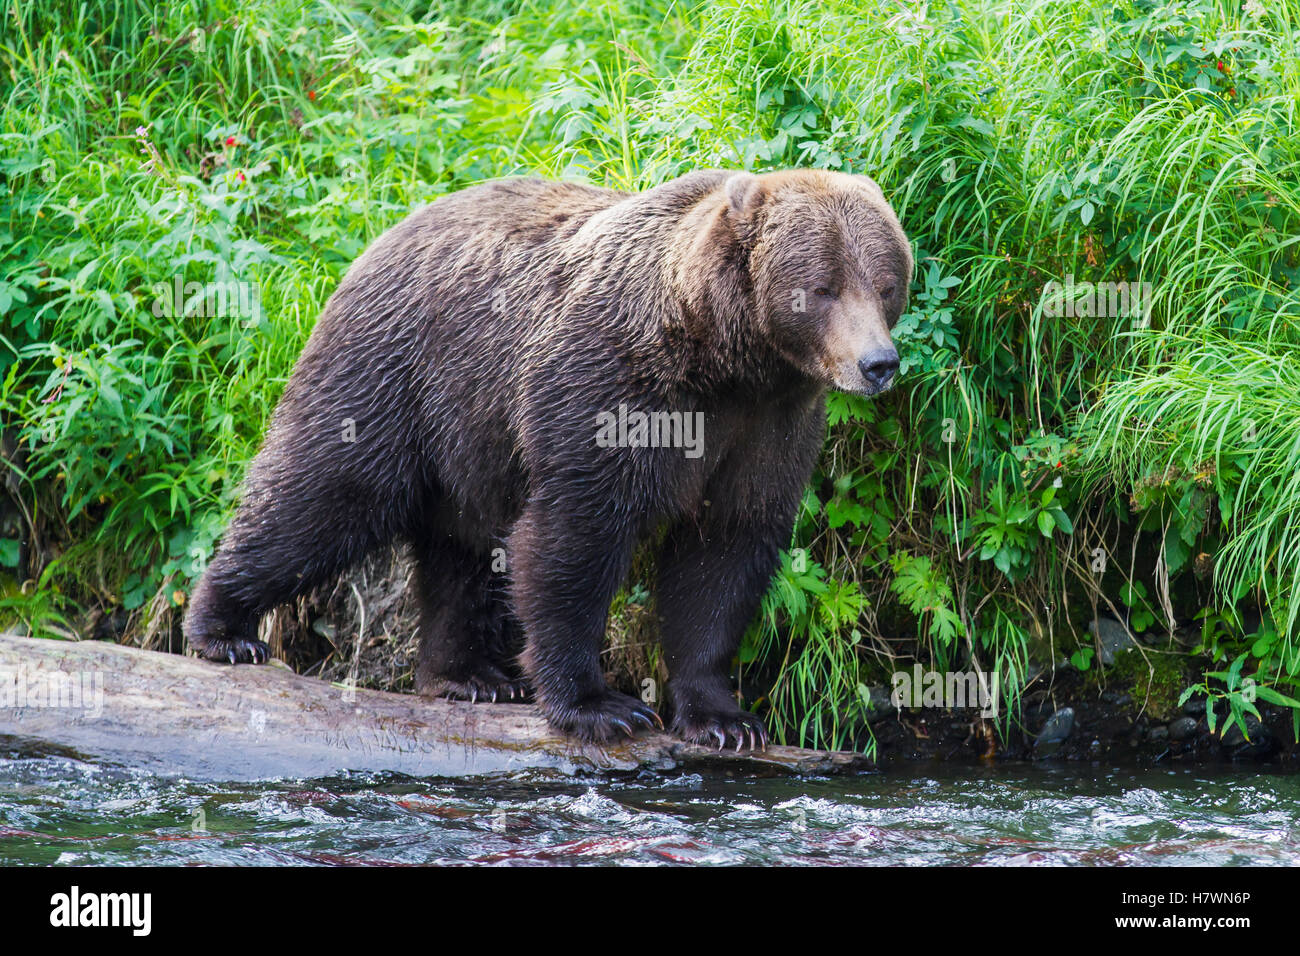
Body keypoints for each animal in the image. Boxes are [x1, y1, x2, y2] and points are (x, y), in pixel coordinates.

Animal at [183, 168, 912, 749]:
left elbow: (725, 552)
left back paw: (466, 675)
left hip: (469, 438)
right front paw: (601, 706)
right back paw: (225, 628)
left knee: (462, 552)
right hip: (394, 373)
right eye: (821, 288)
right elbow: (574, 535)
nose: (877, 363)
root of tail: (382, 234)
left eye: (884, 283)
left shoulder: (769, 425)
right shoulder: (610, 387)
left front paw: (723, 717)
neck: (724, 358)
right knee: (322, 495)